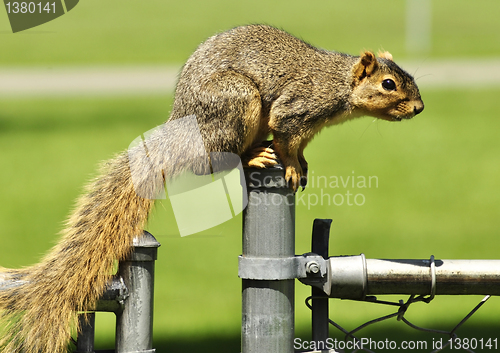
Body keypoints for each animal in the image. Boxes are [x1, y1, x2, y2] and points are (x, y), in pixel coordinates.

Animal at [0, 23, 424, 350]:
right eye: (388, 84)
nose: (419, 108)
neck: (339, 85)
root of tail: (185, 128)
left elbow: (298, 147)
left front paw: (302, 164)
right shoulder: (297, 109)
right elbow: (287, 140)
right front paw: (289, 168)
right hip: (236, 105)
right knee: (218, 158)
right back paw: (255, 156)